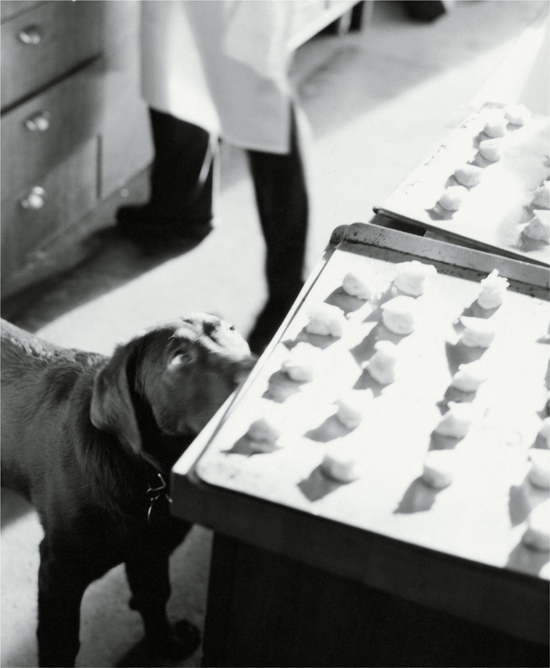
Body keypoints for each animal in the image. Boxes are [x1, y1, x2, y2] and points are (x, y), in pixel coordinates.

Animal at [1, 316, 256, 664]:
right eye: (179, 357)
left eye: (231, 331)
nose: (259, 367)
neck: (144, 473)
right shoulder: (59, 571)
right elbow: (60, 644)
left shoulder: (151, 549)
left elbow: (154, 597)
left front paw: (166, 645)